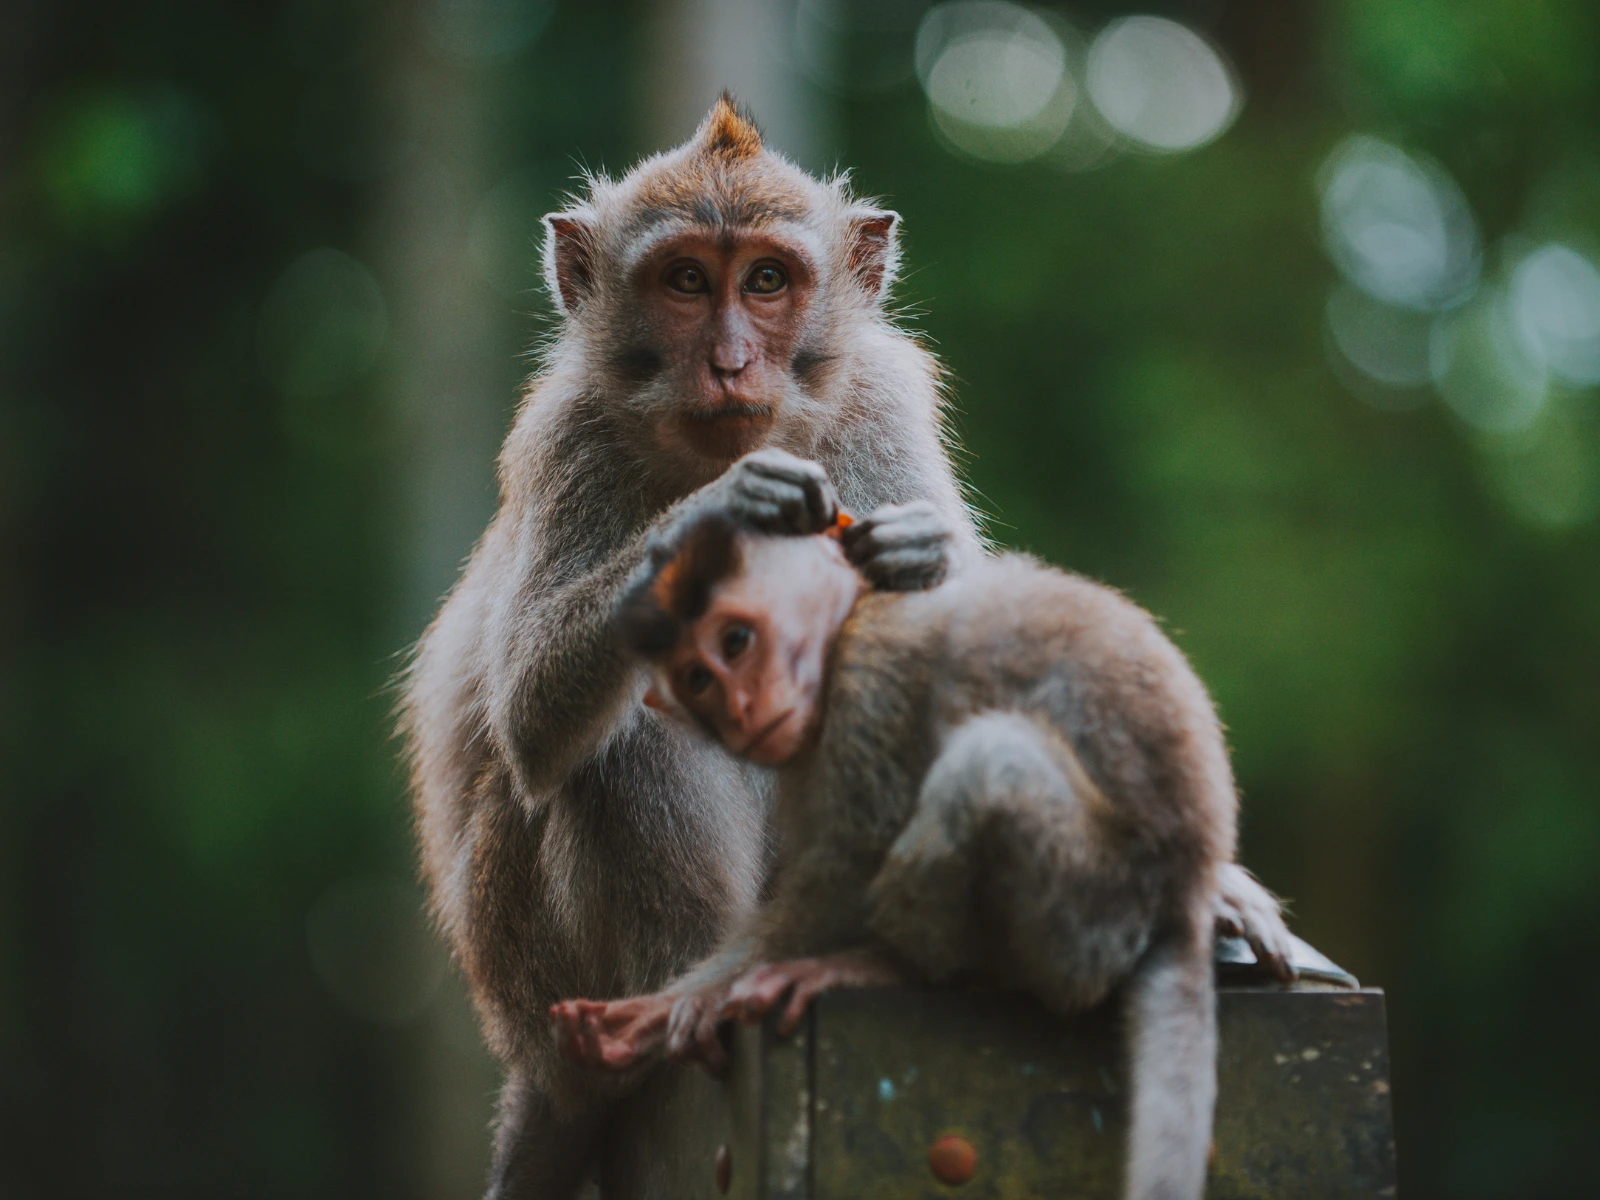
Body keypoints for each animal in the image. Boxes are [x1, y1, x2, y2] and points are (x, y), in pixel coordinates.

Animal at [552, 508, 1253, 1200]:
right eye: (698, 679)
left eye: (735, 642)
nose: (741, 709)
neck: (849, 626)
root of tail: (1184, 892)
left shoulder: (868, 691)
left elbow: (850, 864)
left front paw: (683, 1004)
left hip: (1092, 913)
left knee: (988, 765)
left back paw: (891, 967)